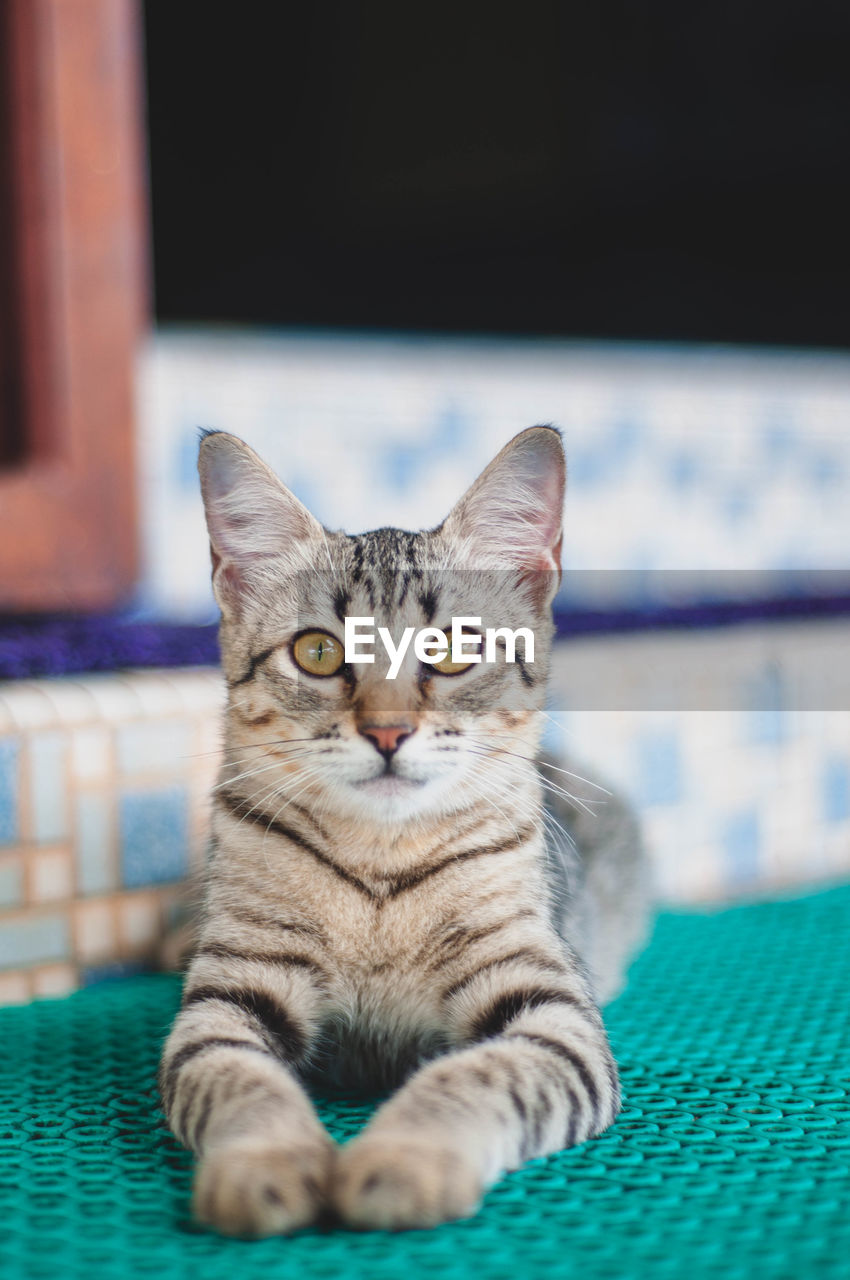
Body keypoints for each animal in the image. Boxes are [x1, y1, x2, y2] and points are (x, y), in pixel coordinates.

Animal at [161, 430, 650, 1239]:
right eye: (319, 652)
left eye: (452, 650)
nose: (387, 731)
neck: (380, 871)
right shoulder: (230, 994)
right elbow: (237, 1080)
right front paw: (264, 1163)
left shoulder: (546, 1007)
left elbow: (480, 1075)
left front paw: (406, 1157)